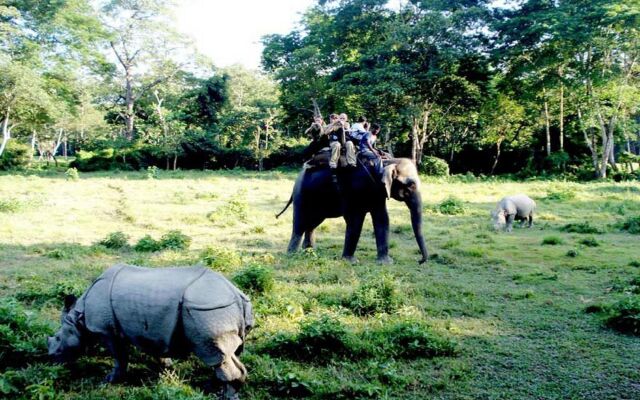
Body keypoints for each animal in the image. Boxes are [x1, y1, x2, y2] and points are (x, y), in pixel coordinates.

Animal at [278, 158, 428, 264]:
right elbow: (355, 220)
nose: (420, 261)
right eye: (410, 184)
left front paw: (386, 263)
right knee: (300, 223)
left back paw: (309, 252)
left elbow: (382, 218)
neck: (385, 162)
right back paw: (293, 255)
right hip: (301, 195)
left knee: (312, 224)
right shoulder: (356, 190)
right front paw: (351, 261)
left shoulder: (377, 193)